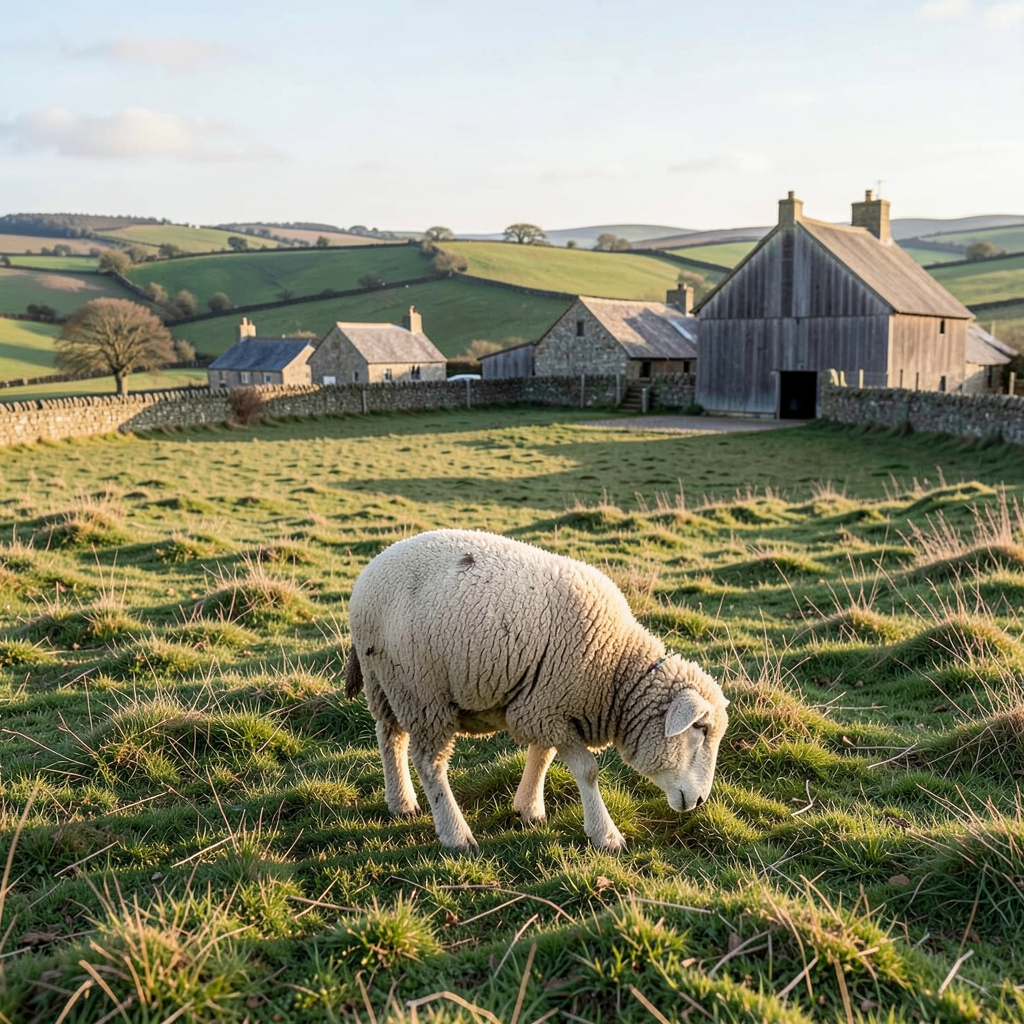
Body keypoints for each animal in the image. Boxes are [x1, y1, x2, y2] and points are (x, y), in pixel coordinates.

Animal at [345, 528, 729, 852]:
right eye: (700, 728)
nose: (699, 802)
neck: (616, 670)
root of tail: (370, 571)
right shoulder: (548, 707)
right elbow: (587, 770)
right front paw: (606, 836)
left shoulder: (542, 705)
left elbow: (542, 755)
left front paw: (528, 809)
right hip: (420, 689)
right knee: (429, 762)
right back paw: (456, 835)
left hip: (385, 682)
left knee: (390, 737)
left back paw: (401, 803)